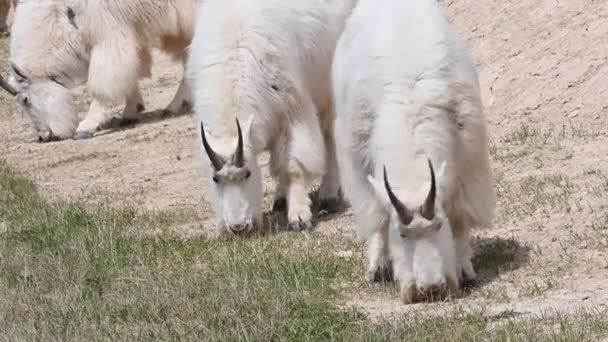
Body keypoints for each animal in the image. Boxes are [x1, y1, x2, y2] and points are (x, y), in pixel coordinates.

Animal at [0, 0, 200, 142]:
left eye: (25, 100)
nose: (44, 136)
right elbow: (130, 73)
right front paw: (131, 111)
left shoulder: (107, 36)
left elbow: (102, 84)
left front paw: (85, 127)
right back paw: (177, 105)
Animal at [186, 0, 356, 235]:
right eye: (215, 178)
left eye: (248, 173)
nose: (238, 228)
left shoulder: (293, 110)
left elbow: (294, 165)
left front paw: (299, 216)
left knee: (330, 137)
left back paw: (328, 195)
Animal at [332, 0, 494, 304]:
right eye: (402, 234)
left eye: (438, 225)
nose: (430, 289)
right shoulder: (359, 166)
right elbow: (378, 217)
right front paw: (378, 267)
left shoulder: (467, 166)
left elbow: (460, 219)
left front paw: (465, 269)